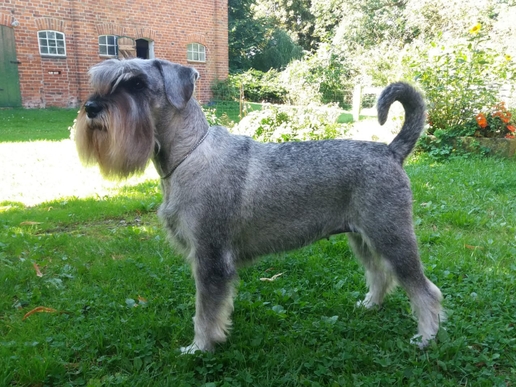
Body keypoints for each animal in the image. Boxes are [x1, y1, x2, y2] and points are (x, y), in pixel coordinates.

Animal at [75, 56, 444, 354]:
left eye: (137, 83)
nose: (91, 108)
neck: (189, 154)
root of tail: (391, 151)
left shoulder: (210, 257)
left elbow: (205, 311)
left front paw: (200, 347)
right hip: (362, 237)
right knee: (381, 274)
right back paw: (370, 306)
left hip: (391, 235)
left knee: (424, 289)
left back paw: (426, 337)